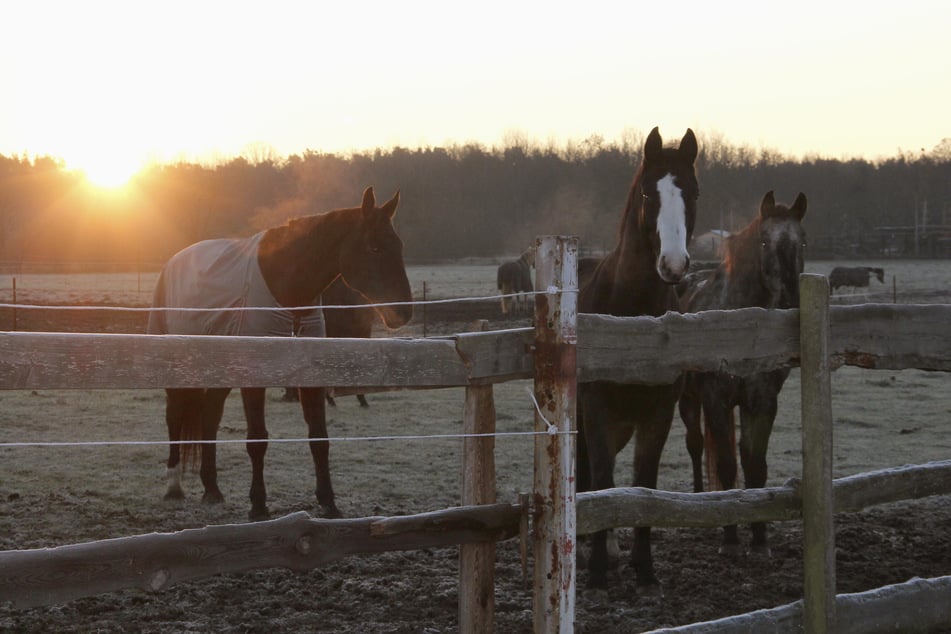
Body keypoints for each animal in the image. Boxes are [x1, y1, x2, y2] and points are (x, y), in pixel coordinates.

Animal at [149, 186, 412, 520]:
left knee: (210, 415)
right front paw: (258, 505)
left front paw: (328, 502)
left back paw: (212, 489)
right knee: (174, 415)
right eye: (374, 248)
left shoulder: (311, 377)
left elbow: (319, 438)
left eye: (398, 245)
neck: (287, 290)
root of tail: (173, 262)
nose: (403, 313)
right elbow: (257, 439)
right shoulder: (254, 377)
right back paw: (173, 487)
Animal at [576, 126, 704, 592]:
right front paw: (598, 567)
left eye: (694, 192)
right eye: (650, 193)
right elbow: (601, 476)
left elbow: (643, 481)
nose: (673, 264)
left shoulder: (658, 413)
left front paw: (643, 567)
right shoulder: (596, 409)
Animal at [680, 189, 808, 552]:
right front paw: (730, 537)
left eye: (802, 241)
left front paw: (760, 537)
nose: (791, 300)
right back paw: (698, 497)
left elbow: (755, 466)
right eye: (764, 241)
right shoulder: (715, 400)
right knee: (695, 444)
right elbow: (725, 466)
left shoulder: (762, 402)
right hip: (688, 401)